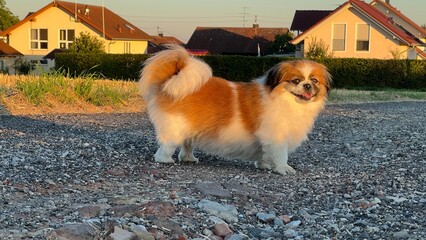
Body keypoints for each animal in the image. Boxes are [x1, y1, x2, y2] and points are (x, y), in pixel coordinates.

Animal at [138, 45, 332, 174]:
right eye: (296, 81)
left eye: (314, 80)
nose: (307, 86)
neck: (286, 100)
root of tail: (169, 81)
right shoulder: (277, 137)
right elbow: (280, 154)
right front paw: (283, 168)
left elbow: (265, 154)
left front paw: (264, 166)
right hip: (176, 128)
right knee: (166, 146)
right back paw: (165, 160)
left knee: (186, 145)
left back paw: (188, 158)